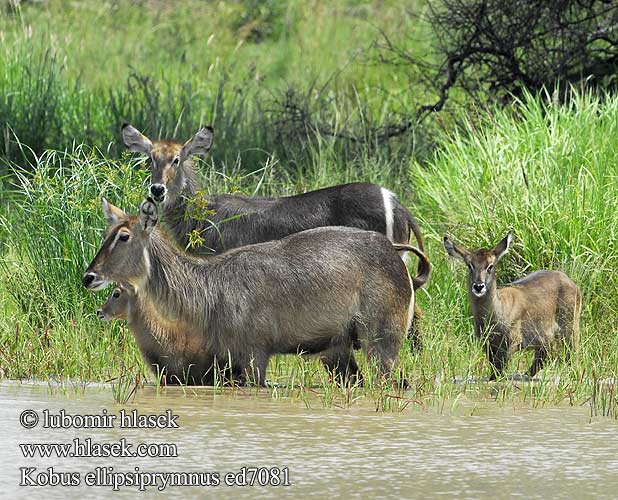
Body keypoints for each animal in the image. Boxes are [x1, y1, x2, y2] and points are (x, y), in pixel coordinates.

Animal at [84, 197, 428, 384]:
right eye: (107, 232)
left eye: (124, 236)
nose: (88, 277)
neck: (211, 289)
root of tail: (393, 252)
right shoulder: (229, 362)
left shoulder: (253, 357)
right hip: (338, 352)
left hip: (382, 342)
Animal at [442, 232, 576, 380]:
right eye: (470, 265)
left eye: (490, 266)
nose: (478, 286)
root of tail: (567, 279)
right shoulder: (487, 343)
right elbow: (494, 369)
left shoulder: (511, 341)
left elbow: (500, 369)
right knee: (543, 356)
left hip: (570, 329)